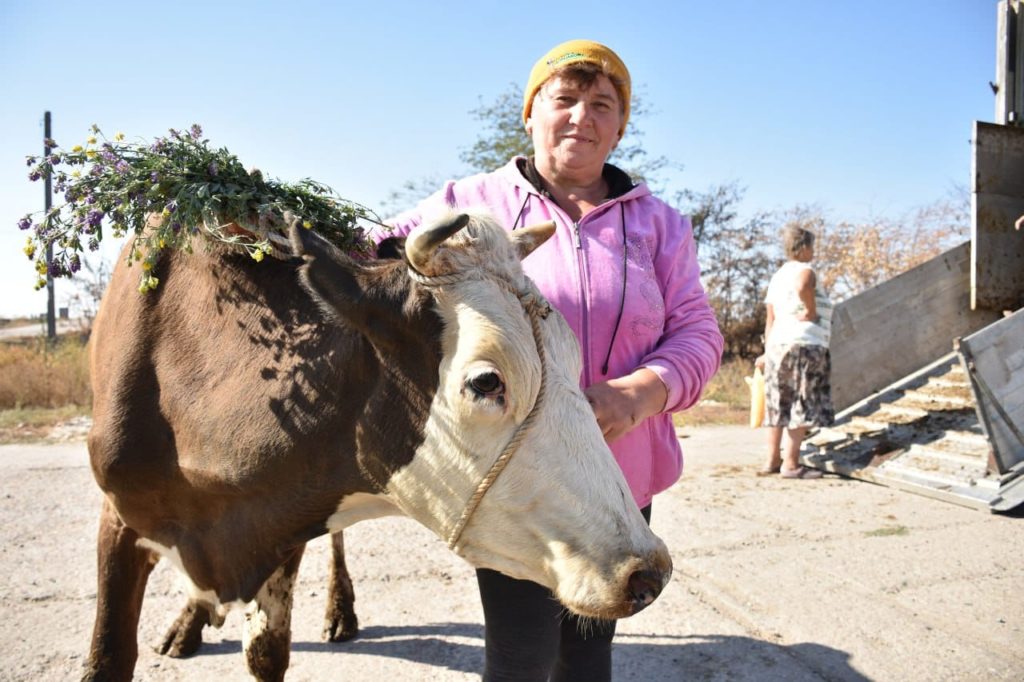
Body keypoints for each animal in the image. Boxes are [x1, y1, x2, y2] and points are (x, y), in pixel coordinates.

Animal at [81, 209, 671, 675]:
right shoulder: (118, 519)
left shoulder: (285, 528)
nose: (650, 571)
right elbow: (108, 656)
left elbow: (267, 654)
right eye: (486, 382)